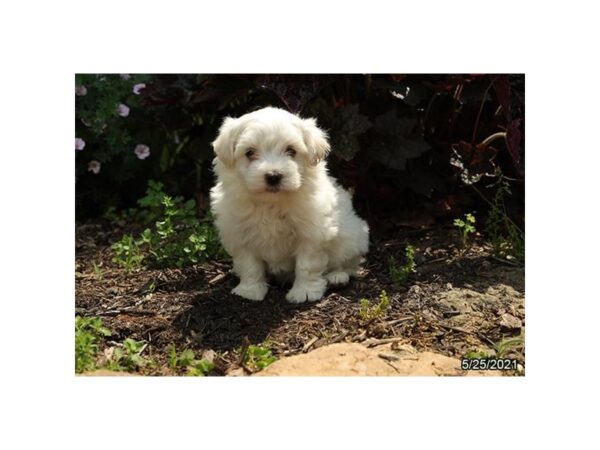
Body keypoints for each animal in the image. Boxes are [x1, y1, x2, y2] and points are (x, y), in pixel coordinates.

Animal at [211, 106, 370, 302]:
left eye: (291, 151)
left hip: (351, 238)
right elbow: (249, 264)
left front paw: (305, 292)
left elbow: (307, 264)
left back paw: (337, 276)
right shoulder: (239, 233)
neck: (271, 202)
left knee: (349, 263)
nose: (273, 176)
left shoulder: (311, 234)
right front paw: (250, 290)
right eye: (249, 153)